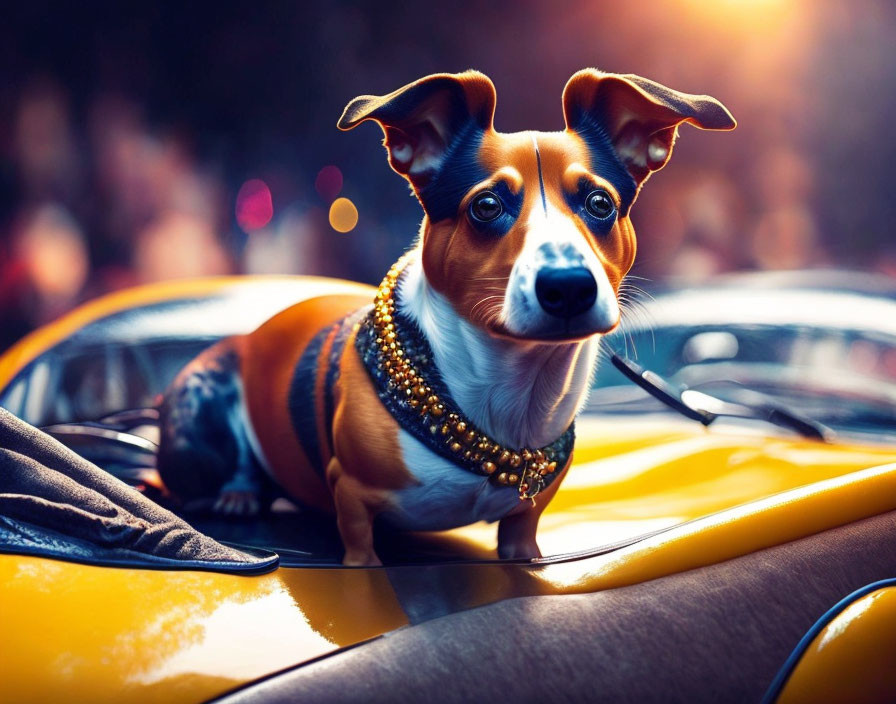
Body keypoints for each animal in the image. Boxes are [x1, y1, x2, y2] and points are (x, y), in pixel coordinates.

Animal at [158, 70, 736, 568]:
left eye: (600, 203)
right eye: (486, 206)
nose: (569, 286)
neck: (509, 397)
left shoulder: (524, 520)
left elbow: (522, 543)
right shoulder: (353, 500)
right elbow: (361, 552)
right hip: (197, 416)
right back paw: (237, 491)